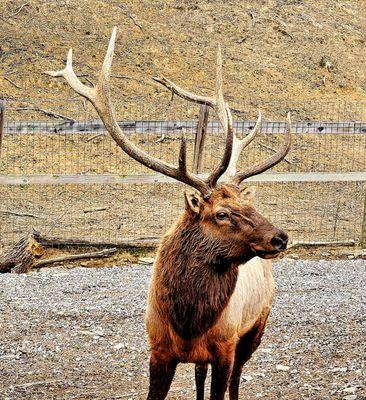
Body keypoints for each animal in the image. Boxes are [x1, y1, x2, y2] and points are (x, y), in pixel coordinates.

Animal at [46, 28, 292, 400]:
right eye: (222, 213)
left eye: (249, 206)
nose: (280, 237)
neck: (186, 324)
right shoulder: (158, 350)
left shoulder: (226, 347)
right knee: (200, 375)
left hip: (256, 328)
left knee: (237, 380)